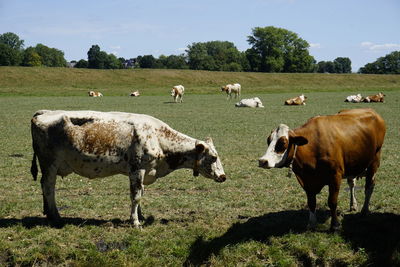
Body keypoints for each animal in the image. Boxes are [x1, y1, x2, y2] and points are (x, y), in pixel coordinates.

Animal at [30, 110, 225, 228]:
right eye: (213, 157)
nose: (223, 176)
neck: (158, 137)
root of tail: (44, 112)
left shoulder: (144, 172)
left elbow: (140, 194)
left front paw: (141, 216)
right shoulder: (137, 170)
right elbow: (136, 196)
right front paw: (135, 222)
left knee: (44, 187)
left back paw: (49, 213)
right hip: (50, 165)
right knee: (48, 187)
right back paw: (56, 216)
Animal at [258, 109, 386, 232]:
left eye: (283, 143)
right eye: (268, 140)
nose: (262, 161)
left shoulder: (335, 176)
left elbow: (332, 202)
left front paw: (335, 225)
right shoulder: (307, 180)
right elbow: (311, 202)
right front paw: (311, 224)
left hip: (374, 161)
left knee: (369, 187)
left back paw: (364, 210)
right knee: (352, 183)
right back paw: (353, 204)